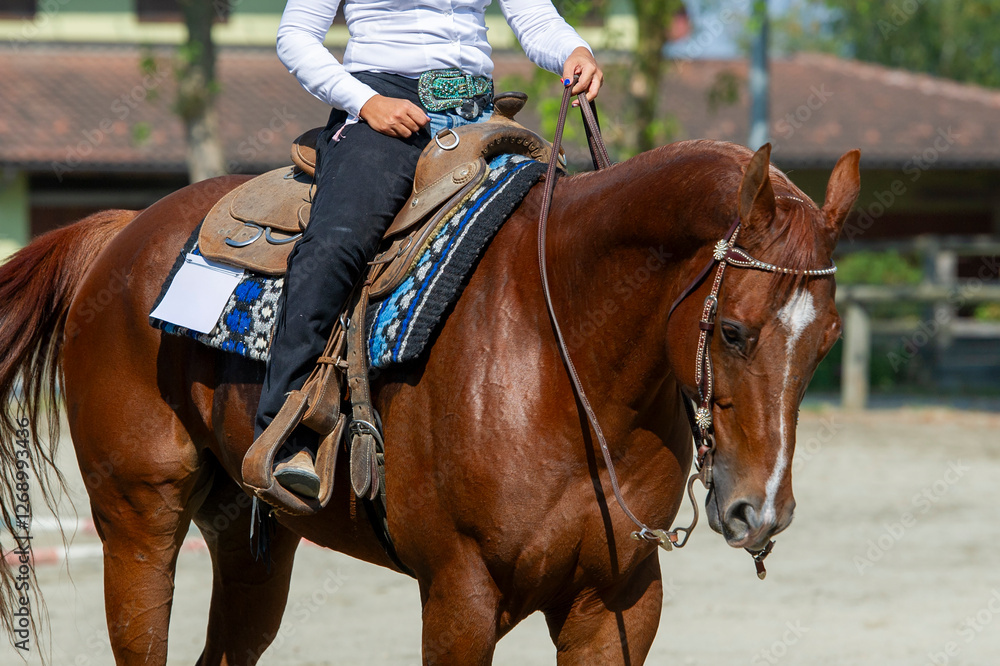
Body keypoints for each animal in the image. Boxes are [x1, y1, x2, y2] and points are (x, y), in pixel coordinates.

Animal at [0, 139, 859, 664]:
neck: (558, 355)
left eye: (827, 340)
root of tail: (122, 233)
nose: (759, 512)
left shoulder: (617, 606)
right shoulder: (459, 595)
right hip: (138, 523)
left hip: (251, 538)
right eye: (736, 332)